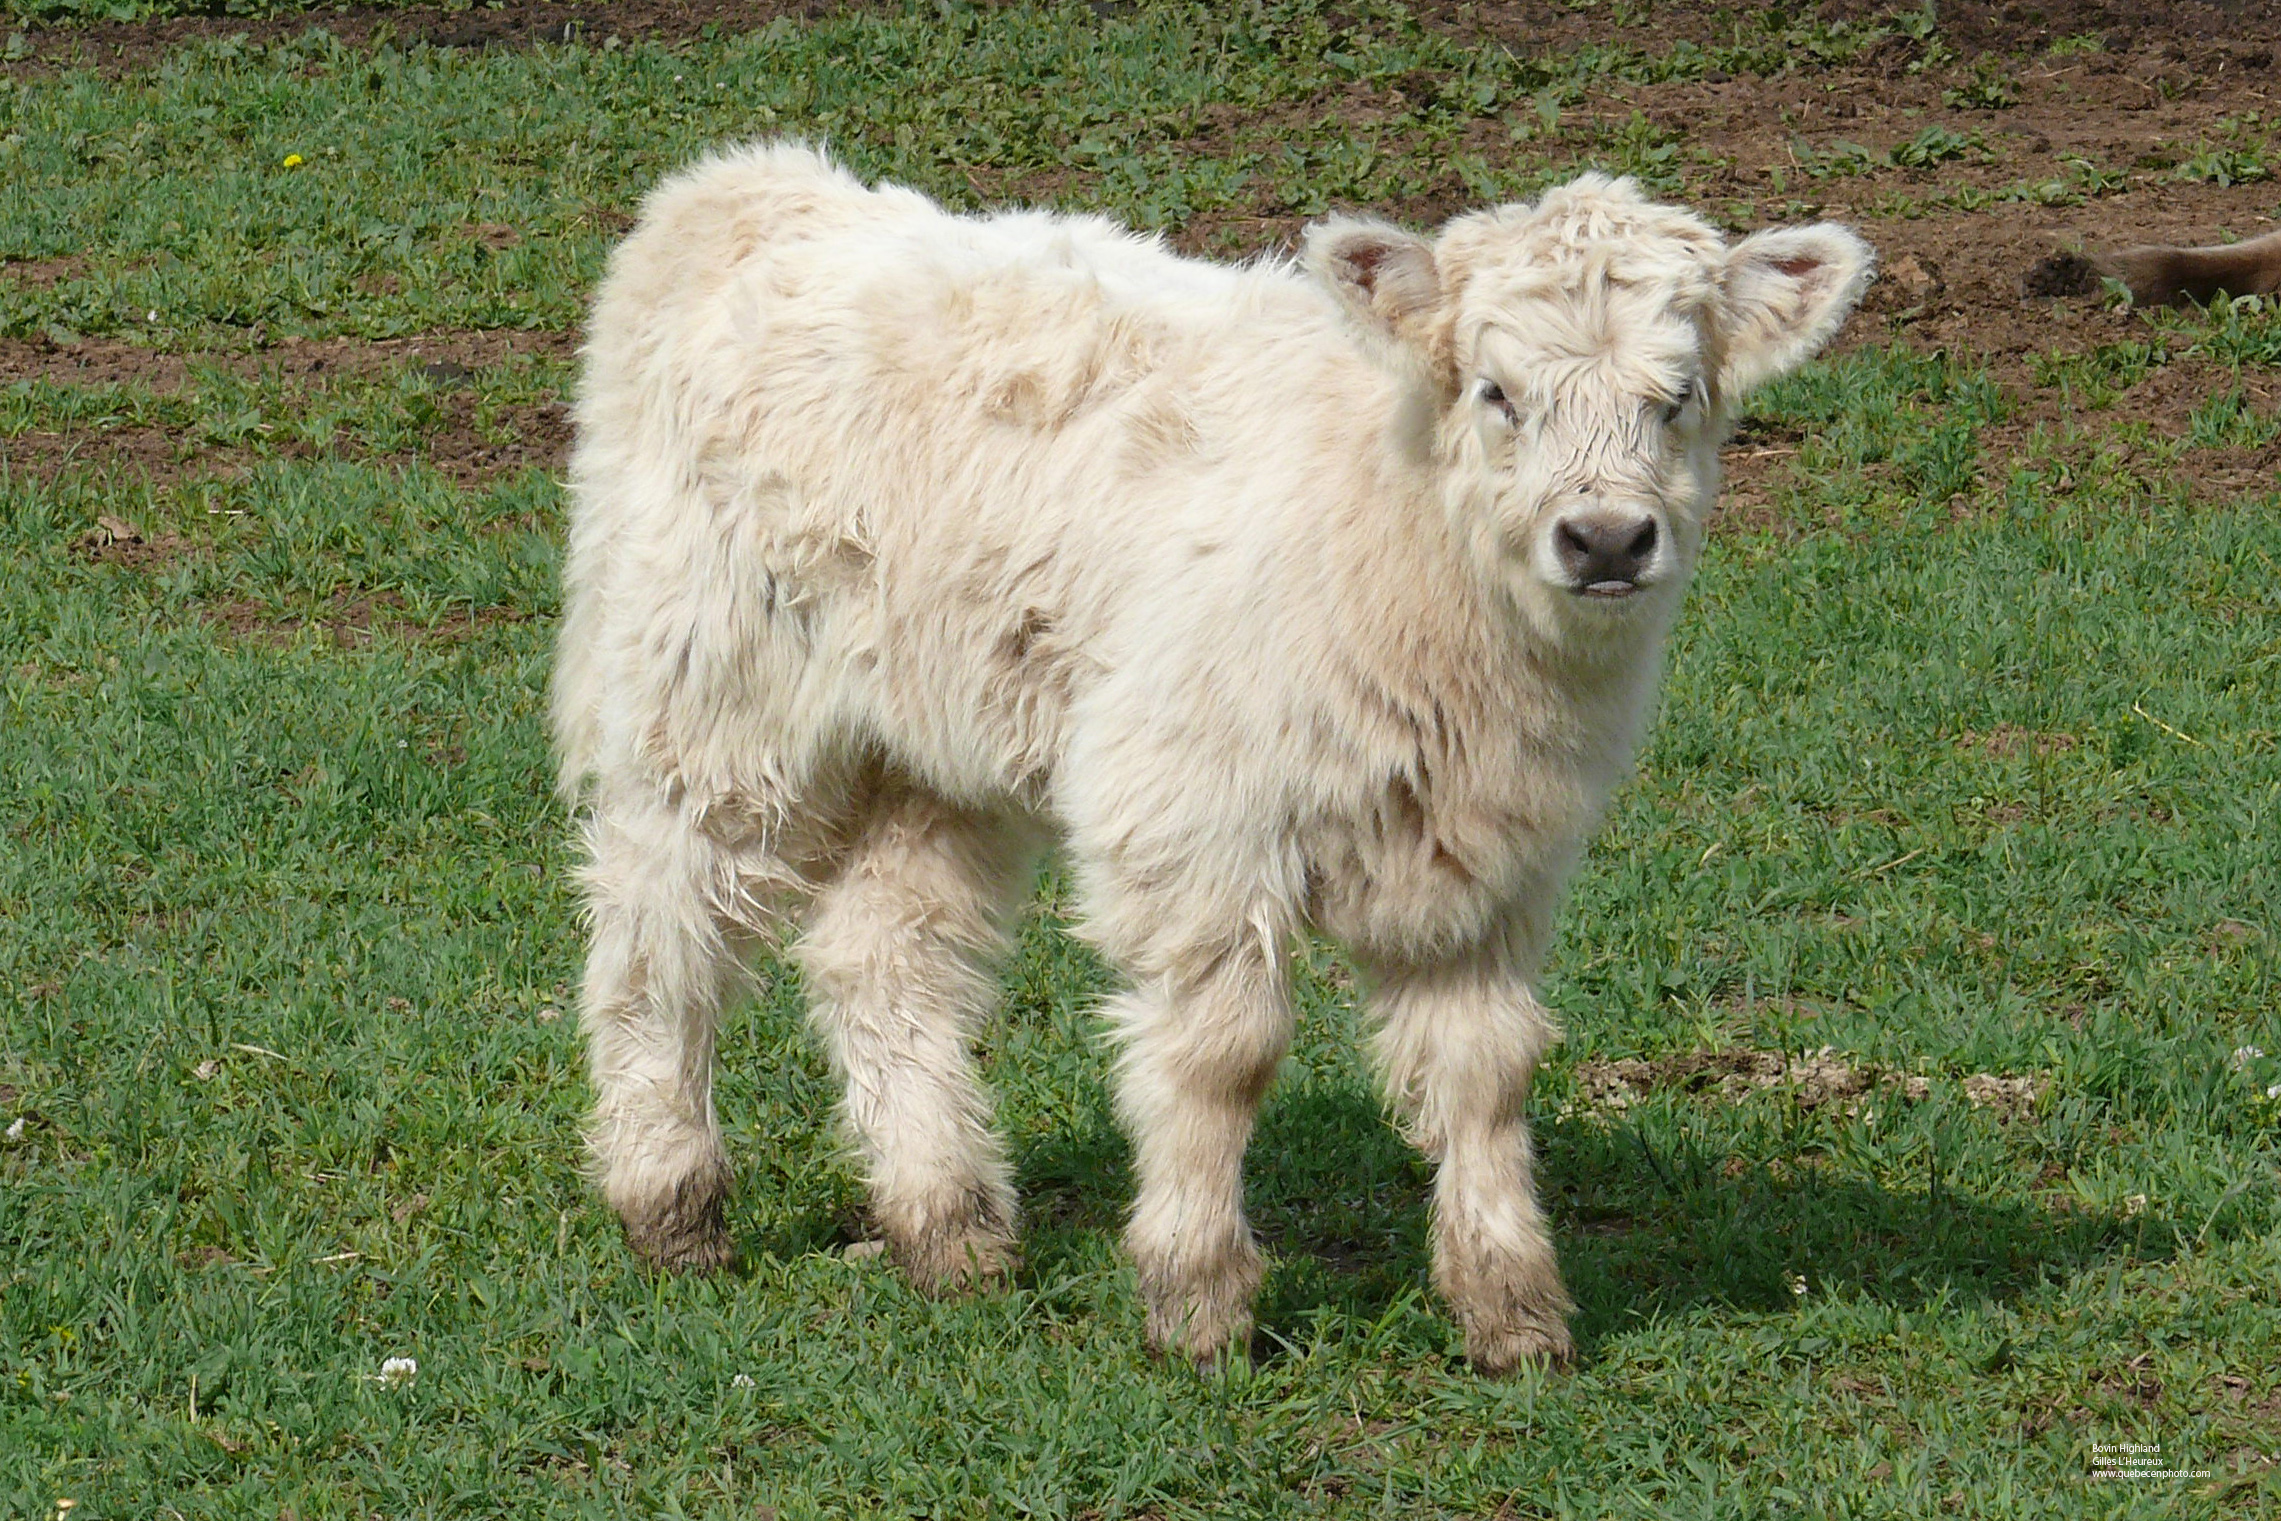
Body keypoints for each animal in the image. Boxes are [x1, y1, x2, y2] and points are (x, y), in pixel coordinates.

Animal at [556, 142, 1870, 1377]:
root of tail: (755, 184)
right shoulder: (1195, 816)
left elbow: (1486, 1069)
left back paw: (948, 1224)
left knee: (883, 959)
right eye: (1497, 391)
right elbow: (1223, 1057)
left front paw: (1512, 1309)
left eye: (1678, 395)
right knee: (657, 930)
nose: (1603, 540)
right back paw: (669, 1199)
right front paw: (1196, 1302)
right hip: (713, 697)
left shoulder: (1489, 857)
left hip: (940, 748)